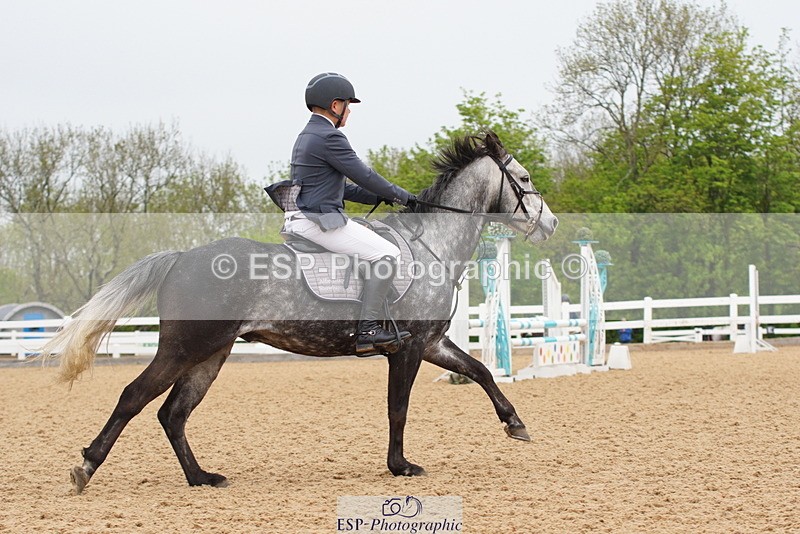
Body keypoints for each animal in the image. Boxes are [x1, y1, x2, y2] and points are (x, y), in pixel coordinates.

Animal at [41, 131, 558, 494]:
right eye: (525, 180)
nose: (550, 223)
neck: (432, 246)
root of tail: (181, 258)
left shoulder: (432, 343)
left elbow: (481, 371)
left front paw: (515, 424)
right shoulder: (407, 349)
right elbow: (398, 407)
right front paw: (400, 467)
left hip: (212, 353)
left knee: (173, 413)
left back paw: (202, 477)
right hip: (185, 347)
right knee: (135, 397)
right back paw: (86, 467)